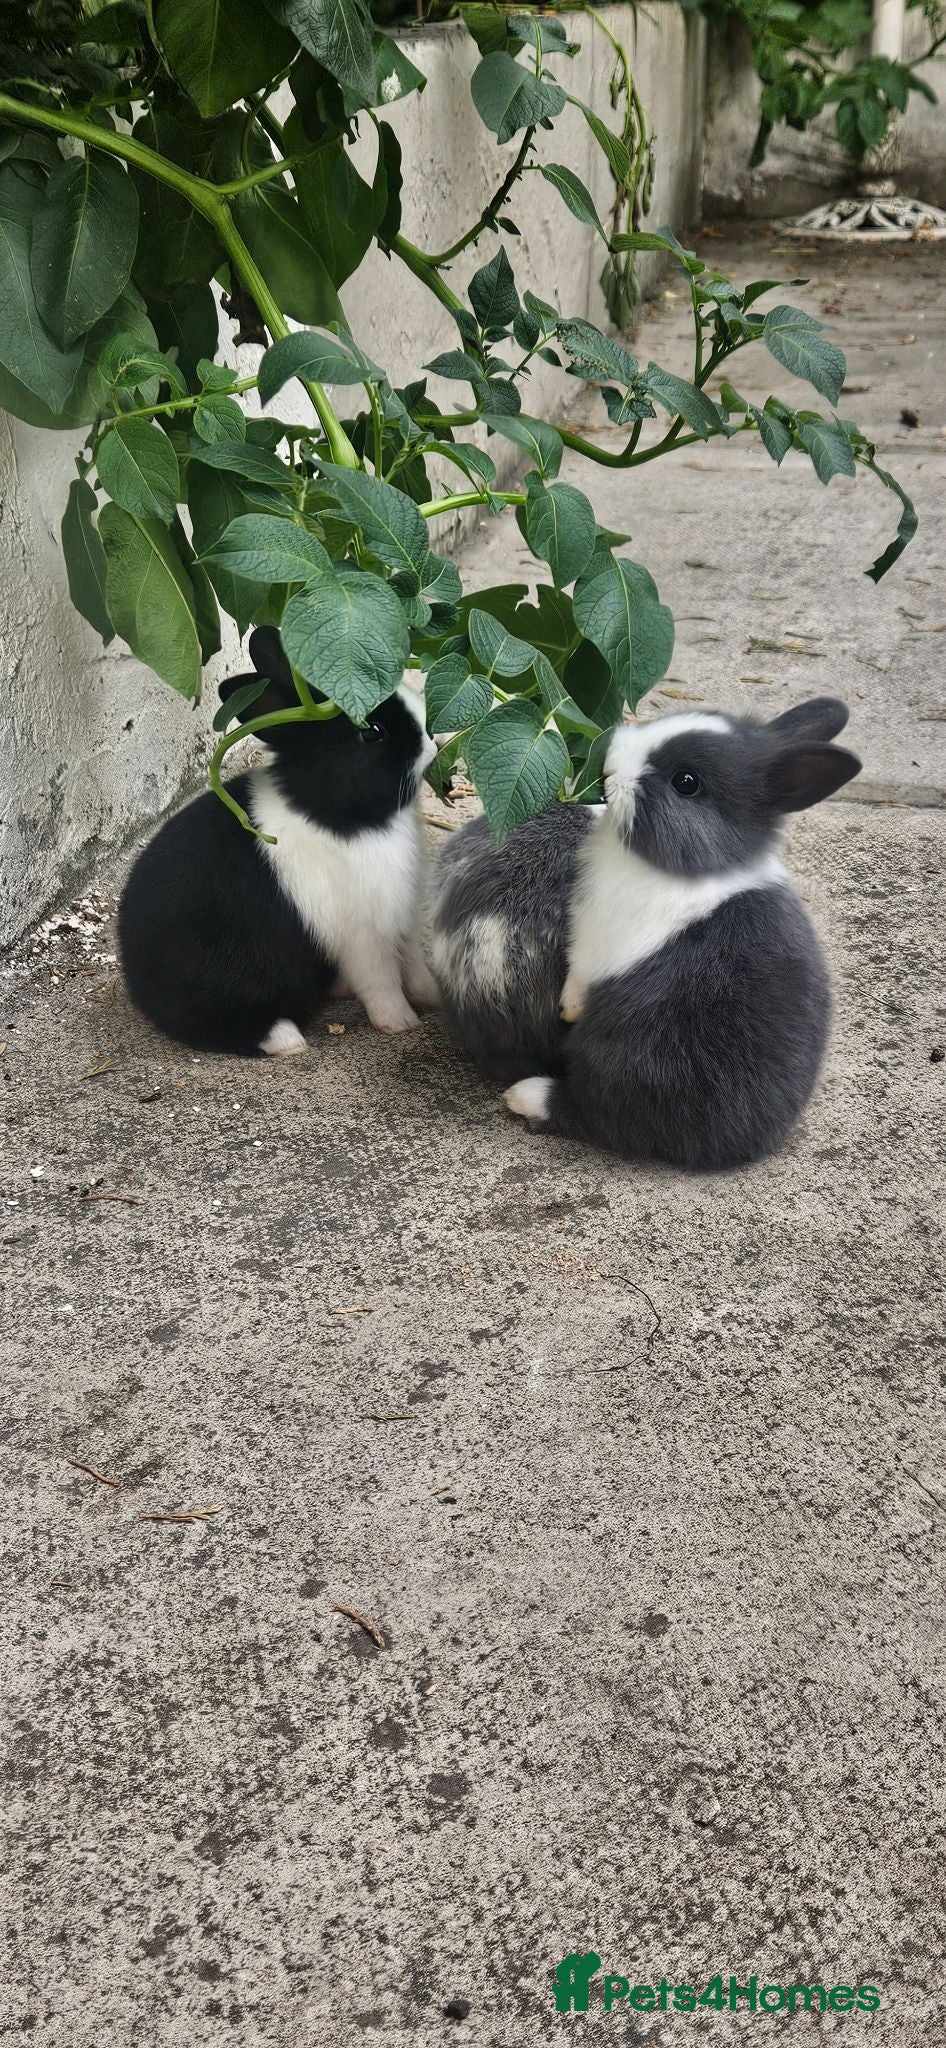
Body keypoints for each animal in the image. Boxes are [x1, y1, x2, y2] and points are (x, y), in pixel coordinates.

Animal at [118, 627, 440, 1057]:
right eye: (373, 732)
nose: (433, 736)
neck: (331, 811)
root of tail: (136, 978)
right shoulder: (363, 936)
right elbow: (381, 981)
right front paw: (401, 1023)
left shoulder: (402, 919)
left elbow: (415, 965)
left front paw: (432, 997)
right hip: (224, 973)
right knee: (212, 1023)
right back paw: (287, 1039)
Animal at [435, 698, 861, 1170]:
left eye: (686, 782)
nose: (608, 767)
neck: (686, 869)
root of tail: (741, 1144)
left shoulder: (599, 937)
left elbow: (580, 977)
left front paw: (568, 1008)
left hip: (628, 1062)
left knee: (595, 1112)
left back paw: (524, 1096)